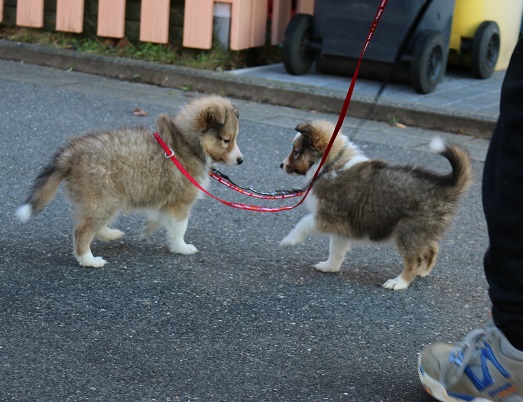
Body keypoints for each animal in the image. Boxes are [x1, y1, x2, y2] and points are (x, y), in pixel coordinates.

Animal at [15, 96, 244, 268]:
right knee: (82, 230)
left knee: (93, 223)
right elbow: (180, 228)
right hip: (104, 196)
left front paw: (148, 229)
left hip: (105, 198)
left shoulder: (168, 200)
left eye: (233, 138)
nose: (241, 160)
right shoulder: (181, 202)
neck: (188, 144)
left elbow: (161, 219)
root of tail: (71, 154)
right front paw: (182, 247)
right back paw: (89, 260)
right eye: (226, 140)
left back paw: (111, 234)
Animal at [280, 119, 472, 288]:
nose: (281, 165)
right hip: (422, 232)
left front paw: (289, 240)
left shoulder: (328, 216)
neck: (331, 165)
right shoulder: (342, 227)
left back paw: (399, 282)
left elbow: (303, 222)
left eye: (296, 152)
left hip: (408, 231)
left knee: (413, 260)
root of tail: (445, 187)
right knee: (431, 249)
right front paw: (329, 267)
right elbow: (336, 249)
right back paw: (423, 272)